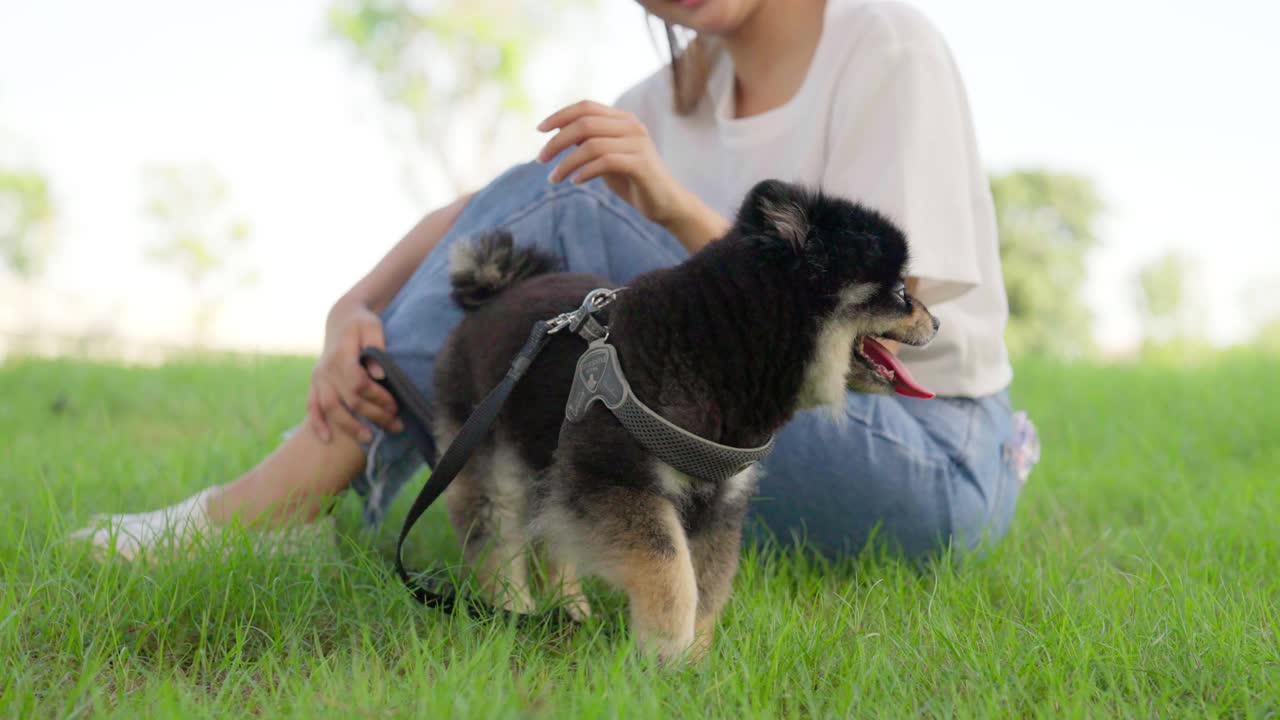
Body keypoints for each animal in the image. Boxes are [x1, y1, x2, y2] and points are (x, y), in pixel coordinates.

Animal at [430, 179, 942, 661]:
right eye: (901, 293)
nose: (936, 322)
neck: (717, 348)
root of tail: (496, 294)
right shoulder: (619, 479)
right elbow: (670, 569)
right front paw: (664, 652)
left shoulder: (719, 499)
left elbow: (708, 586)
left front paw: (695, 665)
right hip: (494, 459)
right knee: (496, 539)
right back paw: (512, 610)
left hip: (552, 467)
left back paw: (569, 609)